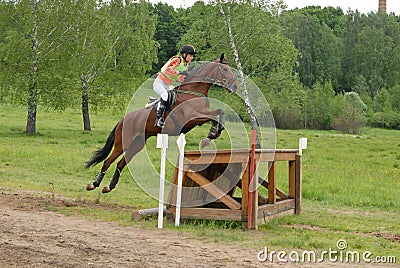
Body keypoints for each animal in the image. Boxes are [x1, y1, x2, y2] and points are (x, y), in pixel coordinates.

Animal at [84, 53, 238, 194]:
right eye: (225, 69)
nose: (235, 86)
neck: (194, 91)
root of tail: (122, 120)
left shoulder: (200, 116)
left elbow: (219, 112)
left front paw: (211, 135)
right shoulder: (193, 118)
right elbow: (216, 116)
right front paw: (211, 135)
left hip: (138, 144)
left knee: (121, 163)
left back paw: (109, 187)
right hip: (122, 143)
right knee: (107, 161)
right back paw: (93, 184)